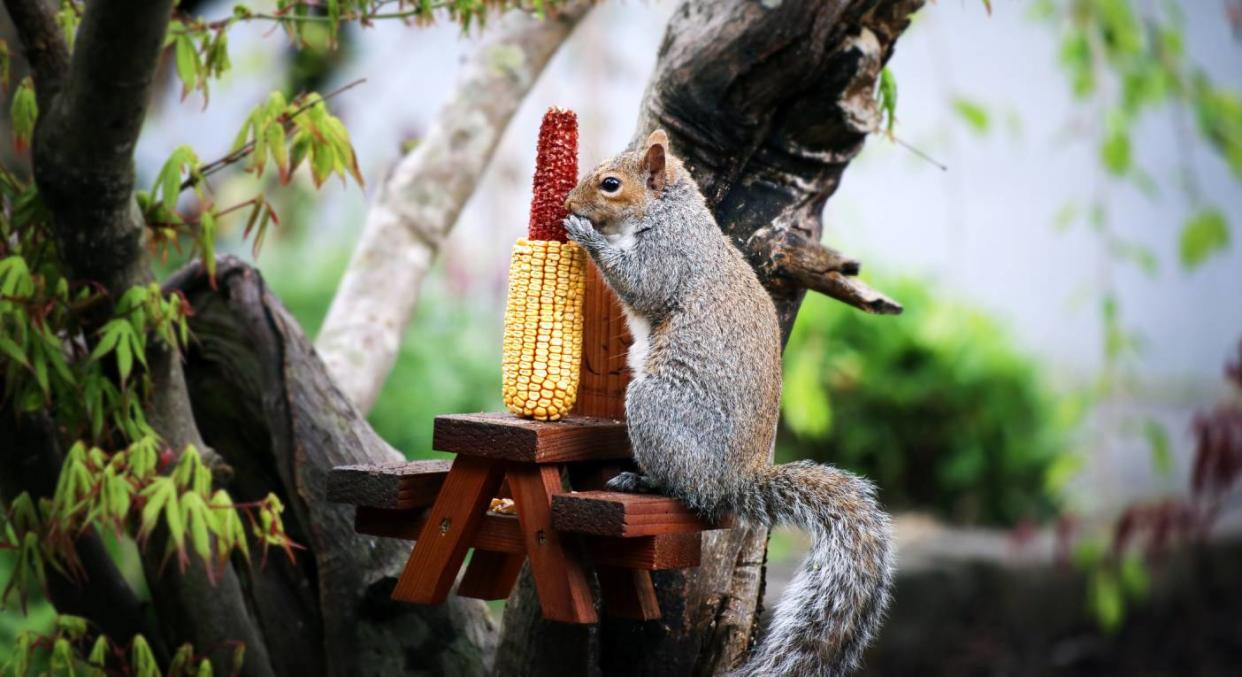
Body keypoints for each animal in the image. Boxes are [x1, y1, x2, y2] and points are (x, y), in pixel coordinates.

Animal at [563, 129, 894, 670]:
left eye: (610, 184)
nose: (570, 203)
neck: (669, 214)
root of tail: (732, 481)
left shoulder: (669, 257)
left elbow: (640, 284)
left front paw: (584, 234)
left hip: (654, 408)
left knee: (683, 489)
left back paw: (643, 479)